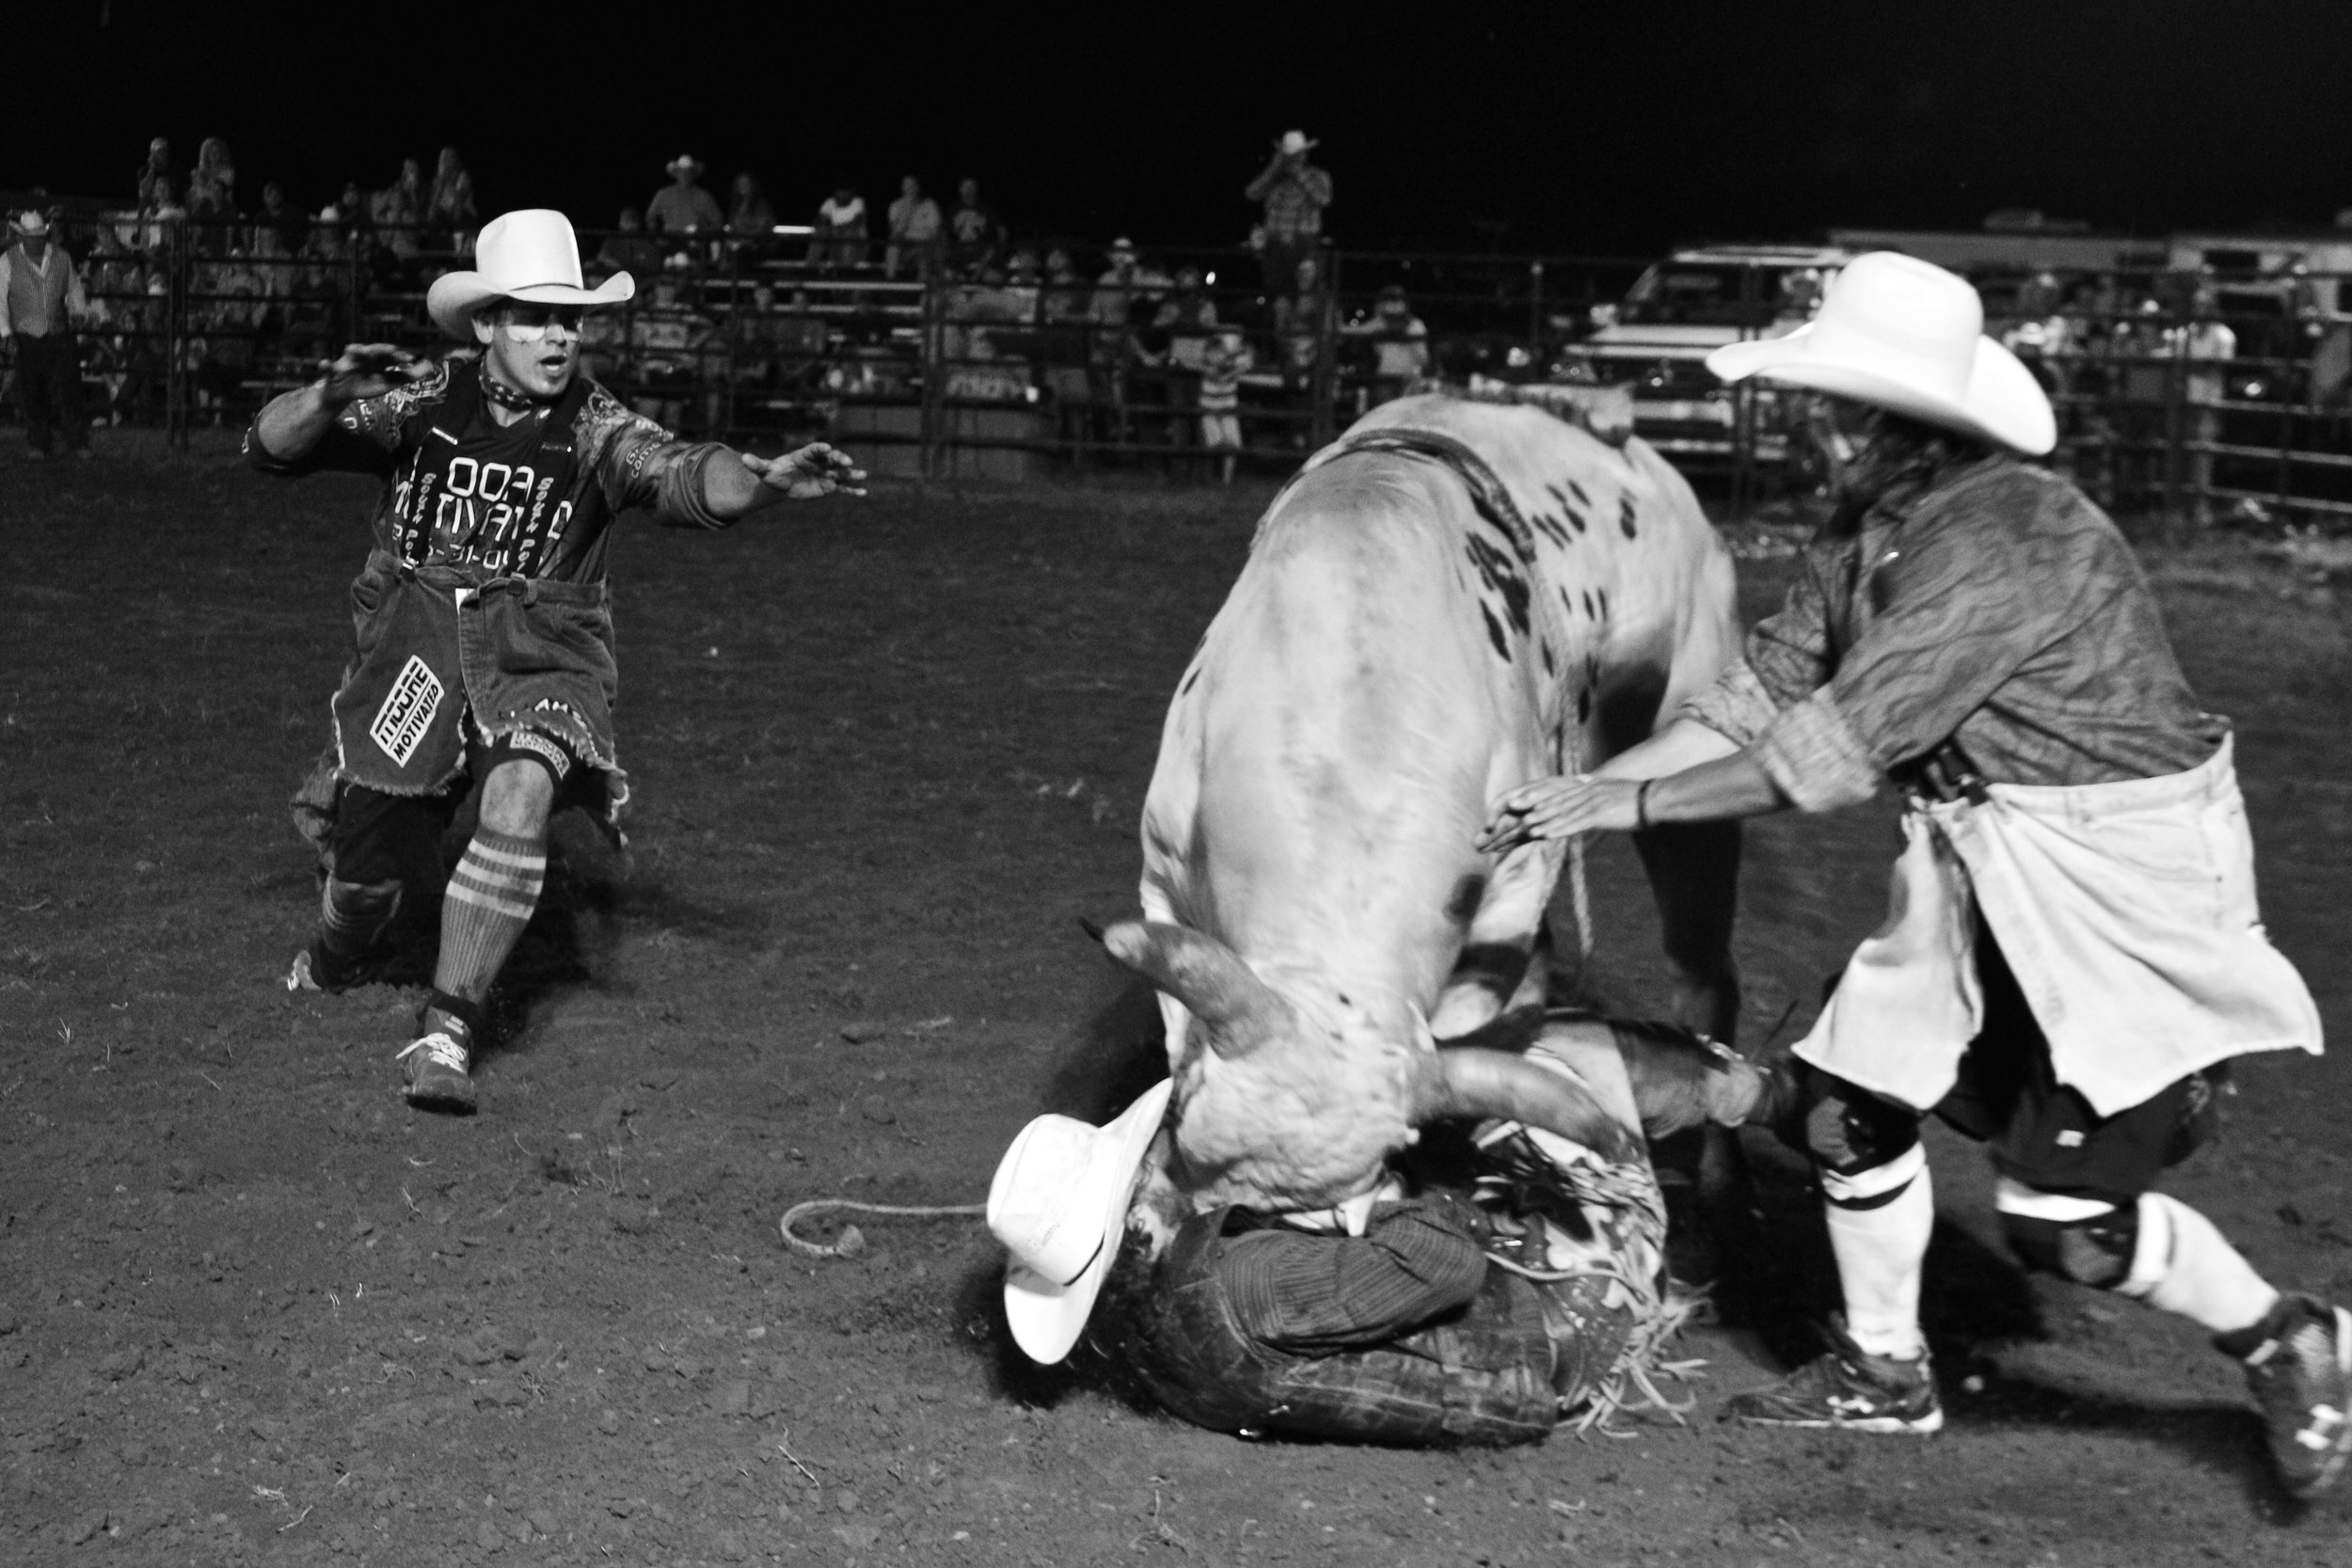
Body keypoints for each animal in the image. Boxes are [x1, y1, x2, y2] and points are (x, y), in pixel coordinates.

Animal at [1110, 392, 1759, 1212]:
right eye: (1184, 1116)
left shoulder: (1518, 877)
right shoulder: (1162, 870)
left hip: (1697, 790)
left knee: (1704, 975)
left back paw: (1722, 1172)